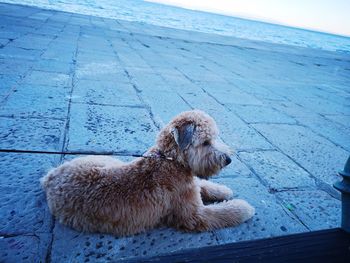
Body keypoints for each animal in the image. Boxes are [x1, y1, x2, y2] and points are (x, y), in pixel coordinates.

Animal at [40, 110, 254, 236]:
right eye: (206, 142)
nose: (228, 160)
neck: (170, 160)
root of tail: (50, 178)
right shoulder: (194, 214)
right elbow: (223, 212)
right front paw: (244, 208)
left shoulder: (191, 185)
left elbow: (203, 184)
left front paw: (223, 190)